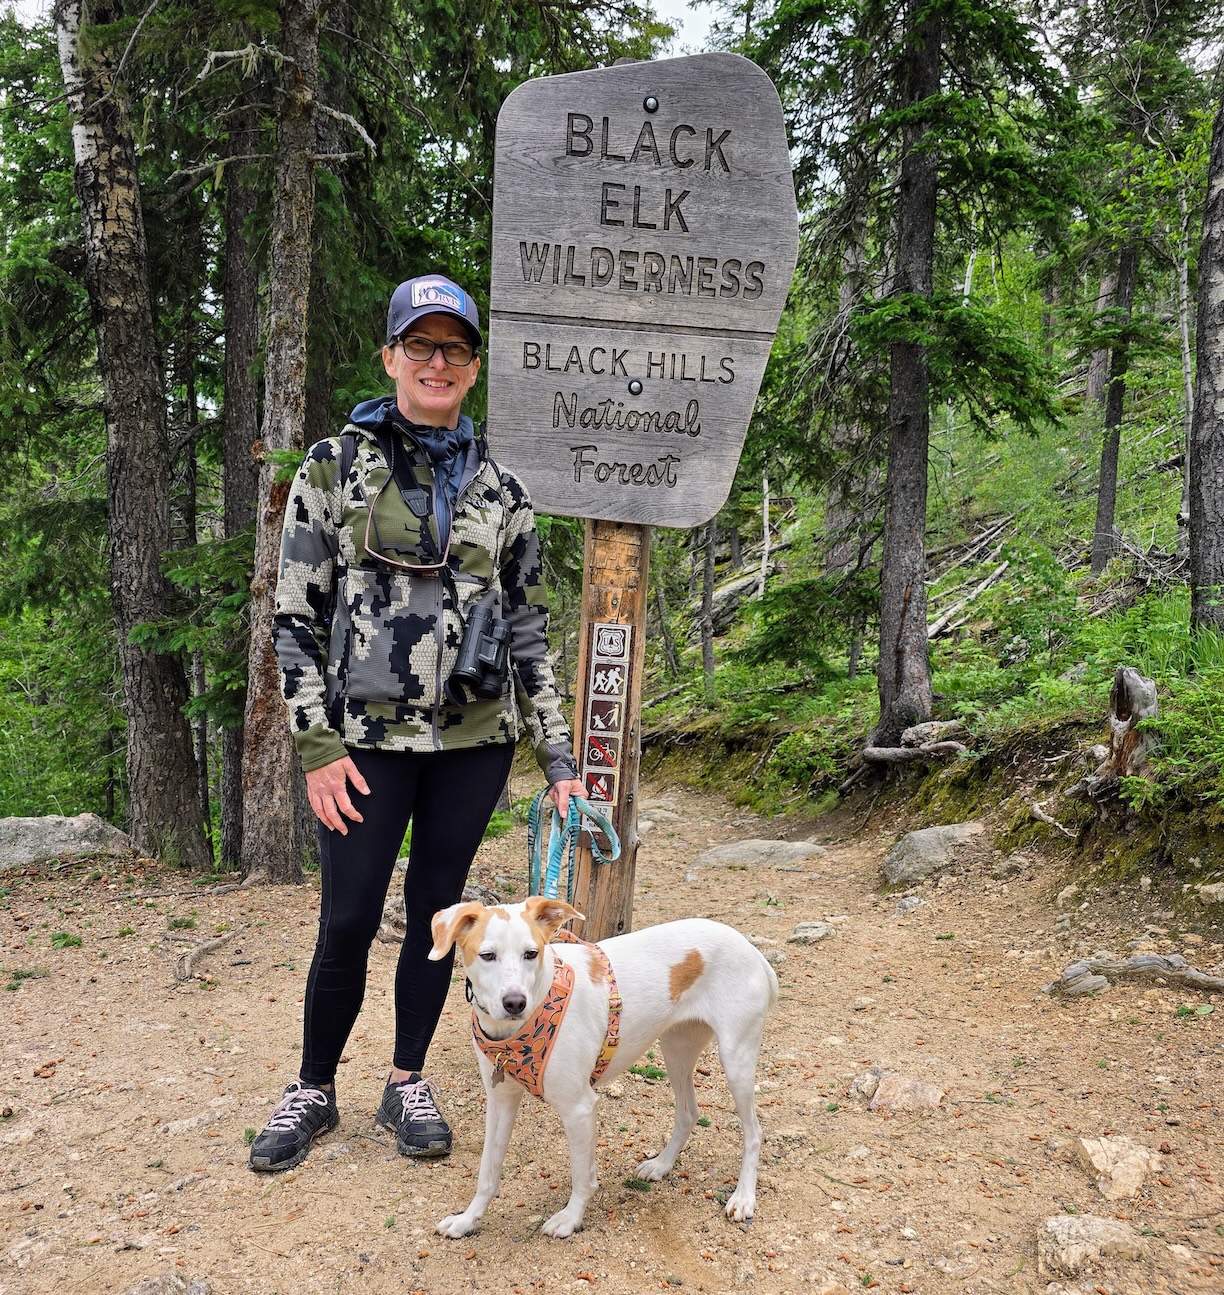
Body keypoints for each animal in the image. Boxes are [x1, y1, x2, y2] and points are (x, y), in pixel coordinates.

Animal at [424, 896, 777, 1238]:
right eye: (487, 955)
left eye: (531, 953)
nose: (514, 1003)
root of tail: (749, 948)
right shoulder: (500, 1100)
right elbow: (488, 1171)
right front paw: (467, 1220)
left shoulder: (579, 1108)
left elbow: (582, 1175)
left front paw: (570, 1218)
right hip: (676, 1050)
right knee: (689, 1112)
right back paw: (661, 1165)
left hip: (736, 1058)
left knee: (754, 1132)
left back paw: (743, 1197)